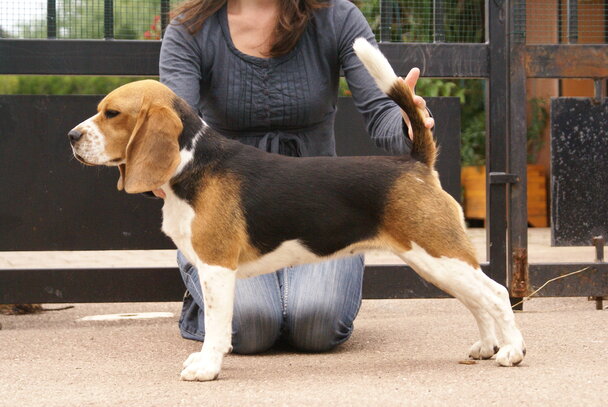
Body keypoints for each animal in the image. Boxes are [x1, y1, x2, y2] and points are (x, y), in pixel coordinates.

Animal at [65, 39, 524, 382]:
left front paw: (207, 367)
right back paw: (487, 347)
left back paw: (511, 352)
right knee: (477, 300)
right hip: (436, 262)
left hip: (439, 254)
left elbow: (216, 326)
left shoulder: (216, 267)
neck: (191, 162)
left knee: (497, 294)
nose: (71, 136)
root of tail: (415, 162)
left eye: (112, 113)